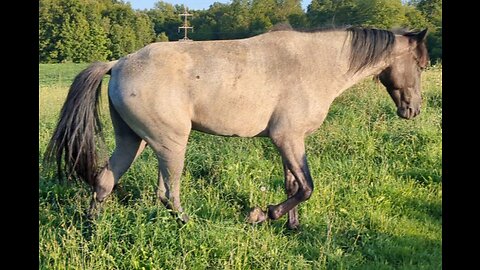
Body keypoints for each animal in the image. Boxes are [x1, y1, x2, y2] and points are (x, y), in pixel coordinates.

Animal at [44, 25, 428, 230]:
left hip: (133, 140)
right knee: (169, 193)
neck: (315, 64)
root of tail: (119, 63)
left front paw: (292, 226)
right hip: (171, 144)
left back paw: (92, 227)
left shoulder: (287, 141)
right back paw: (188, 224)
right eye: (422, 65)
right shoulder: (288, 138)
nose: (413, 110)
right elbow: (306, 187)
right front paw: (263, 215)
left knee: (106, 180)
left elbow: (293, 183)